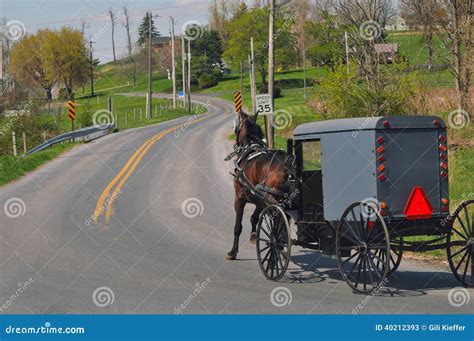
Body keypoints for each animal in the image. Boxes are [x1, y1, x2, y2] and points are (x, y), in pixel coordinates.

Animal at [226, 110, 292, 258]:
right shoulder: (258, 200)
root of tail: (286, 164)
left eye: (237, 128)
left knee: (280, 224)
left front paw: (233, 251)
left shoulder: (239, 198)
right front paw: (254, 235)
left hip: (272, 199)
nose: (235, 144)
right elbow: (254, 218)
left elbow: (238, 226)